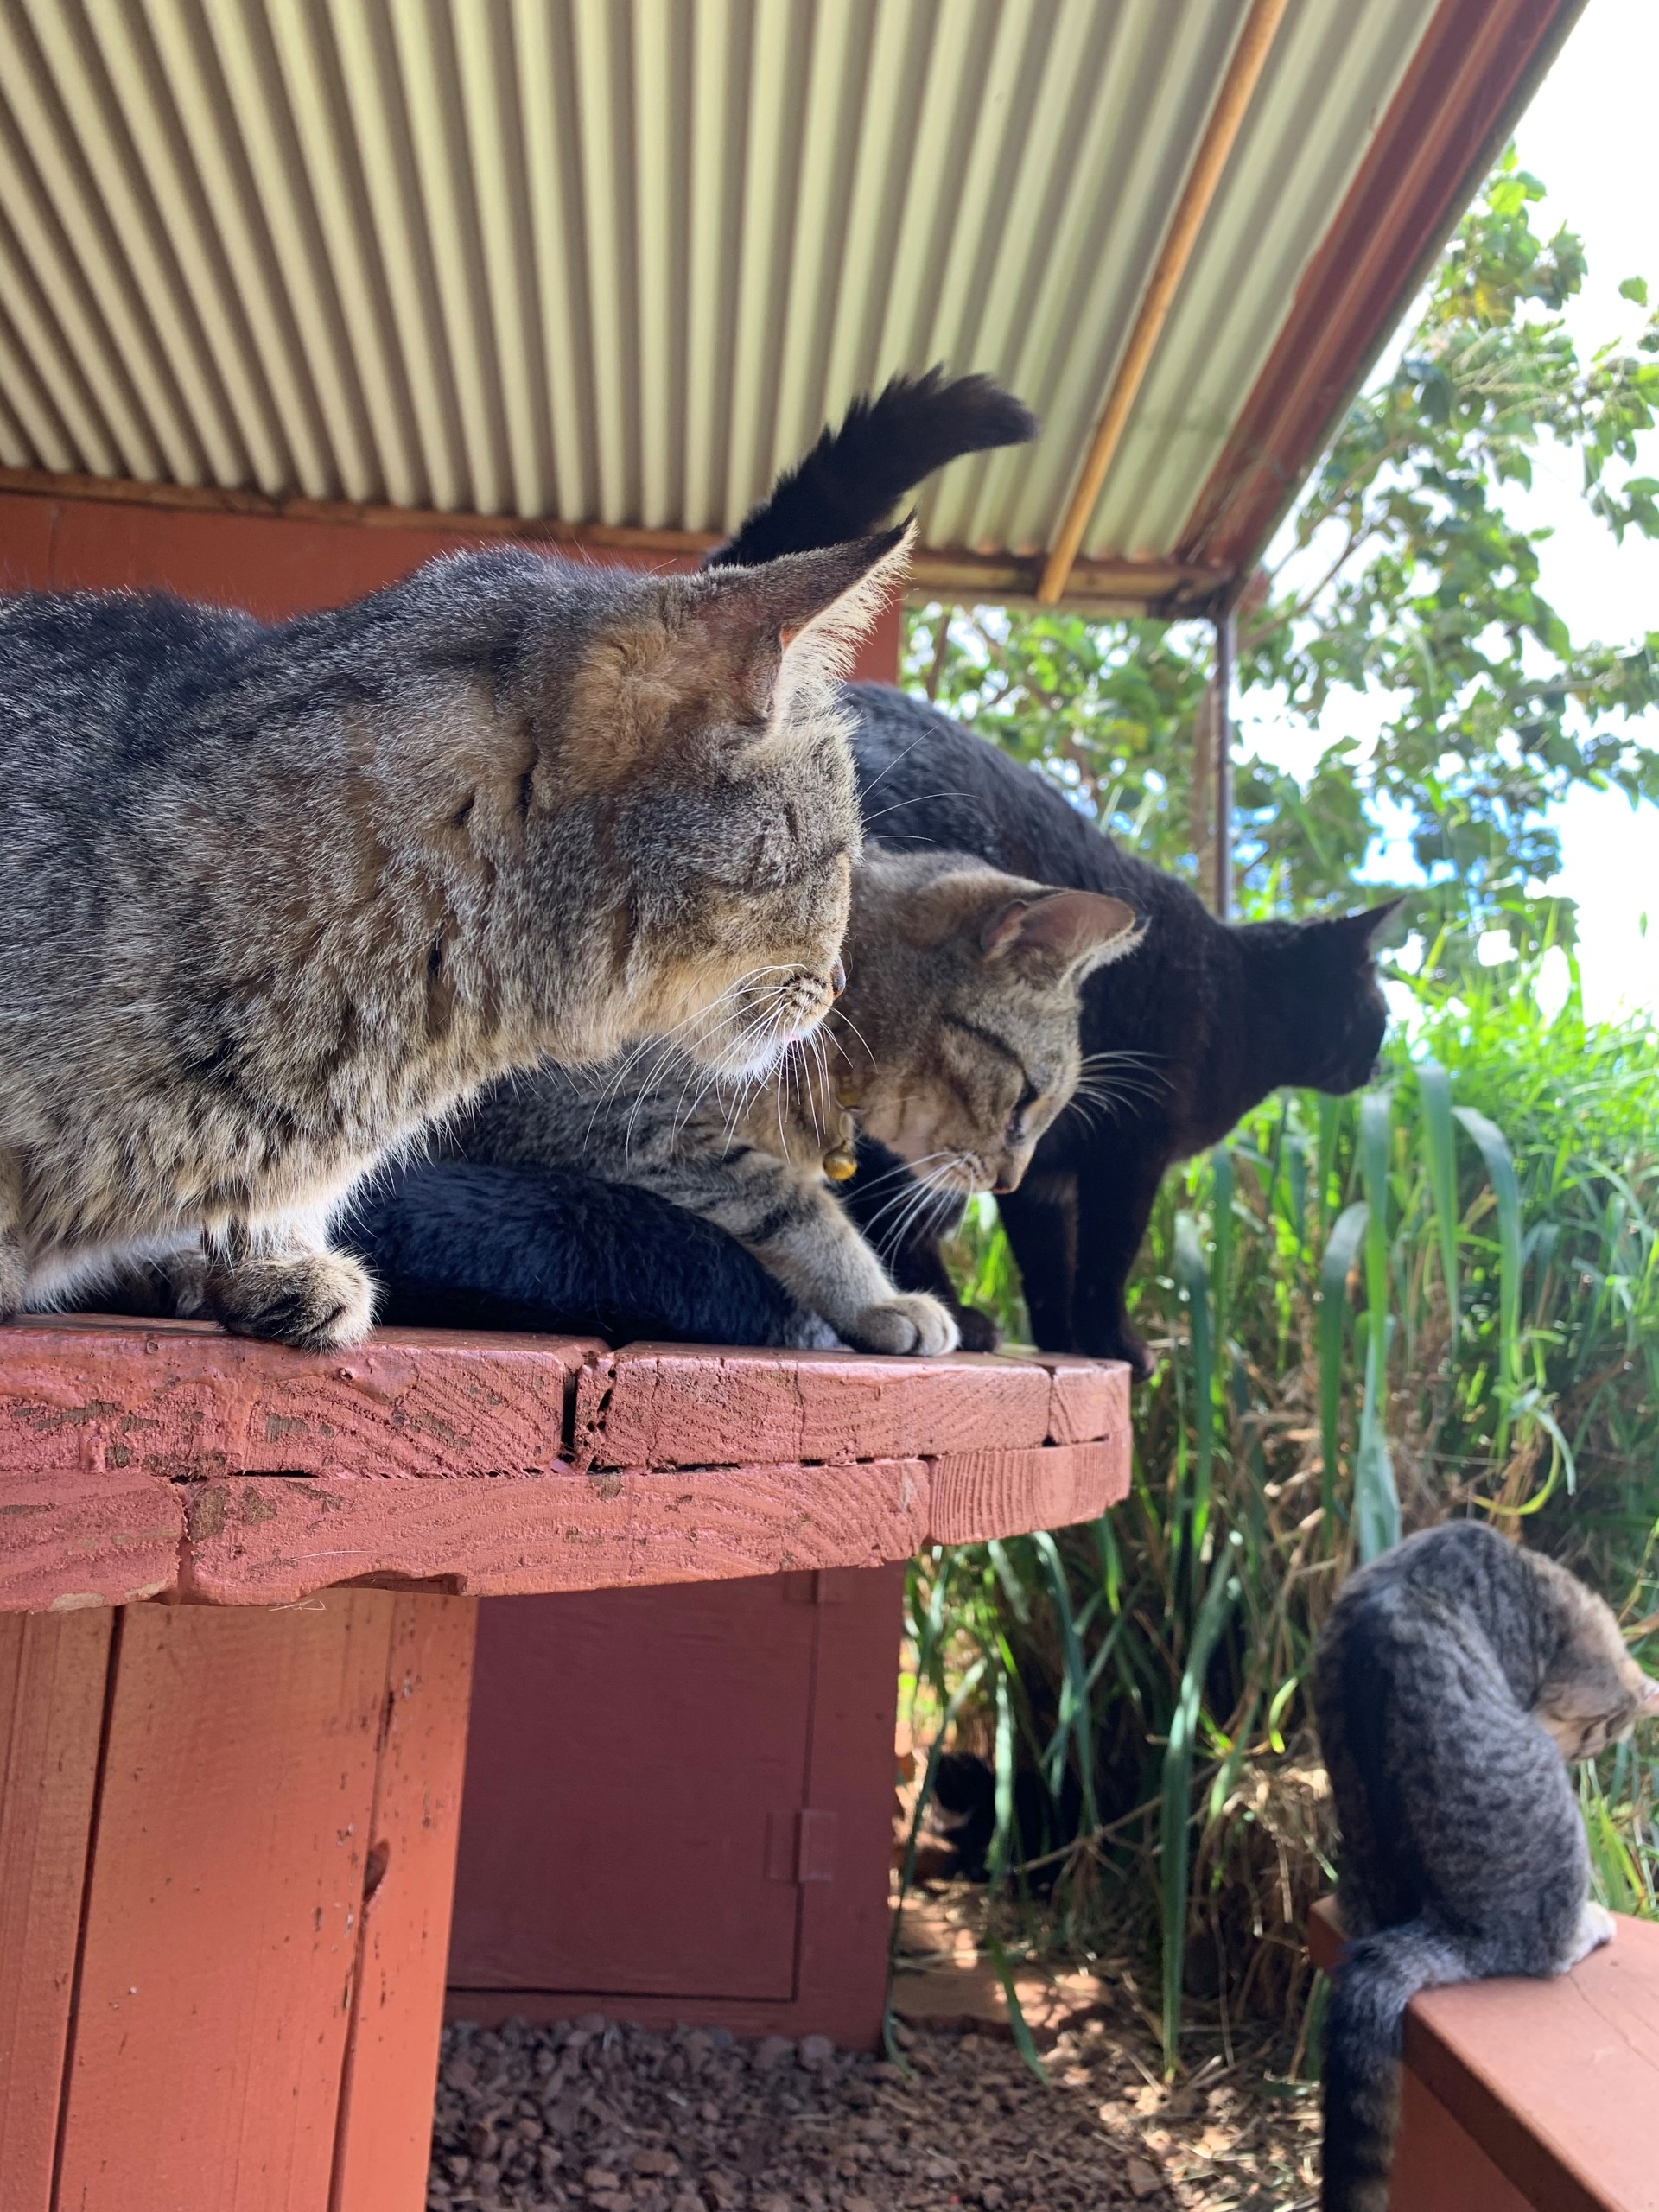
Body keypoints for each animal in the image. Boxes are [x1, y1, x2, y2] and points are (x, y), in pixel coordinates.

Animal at [1318, 1522, 1654, 2212]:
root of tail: (1449, 1927)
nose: (1579, 1752)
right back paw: (1586, 1929)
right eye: (1601, 1736)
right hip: (1554, 1818)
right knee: (1544, 1955)